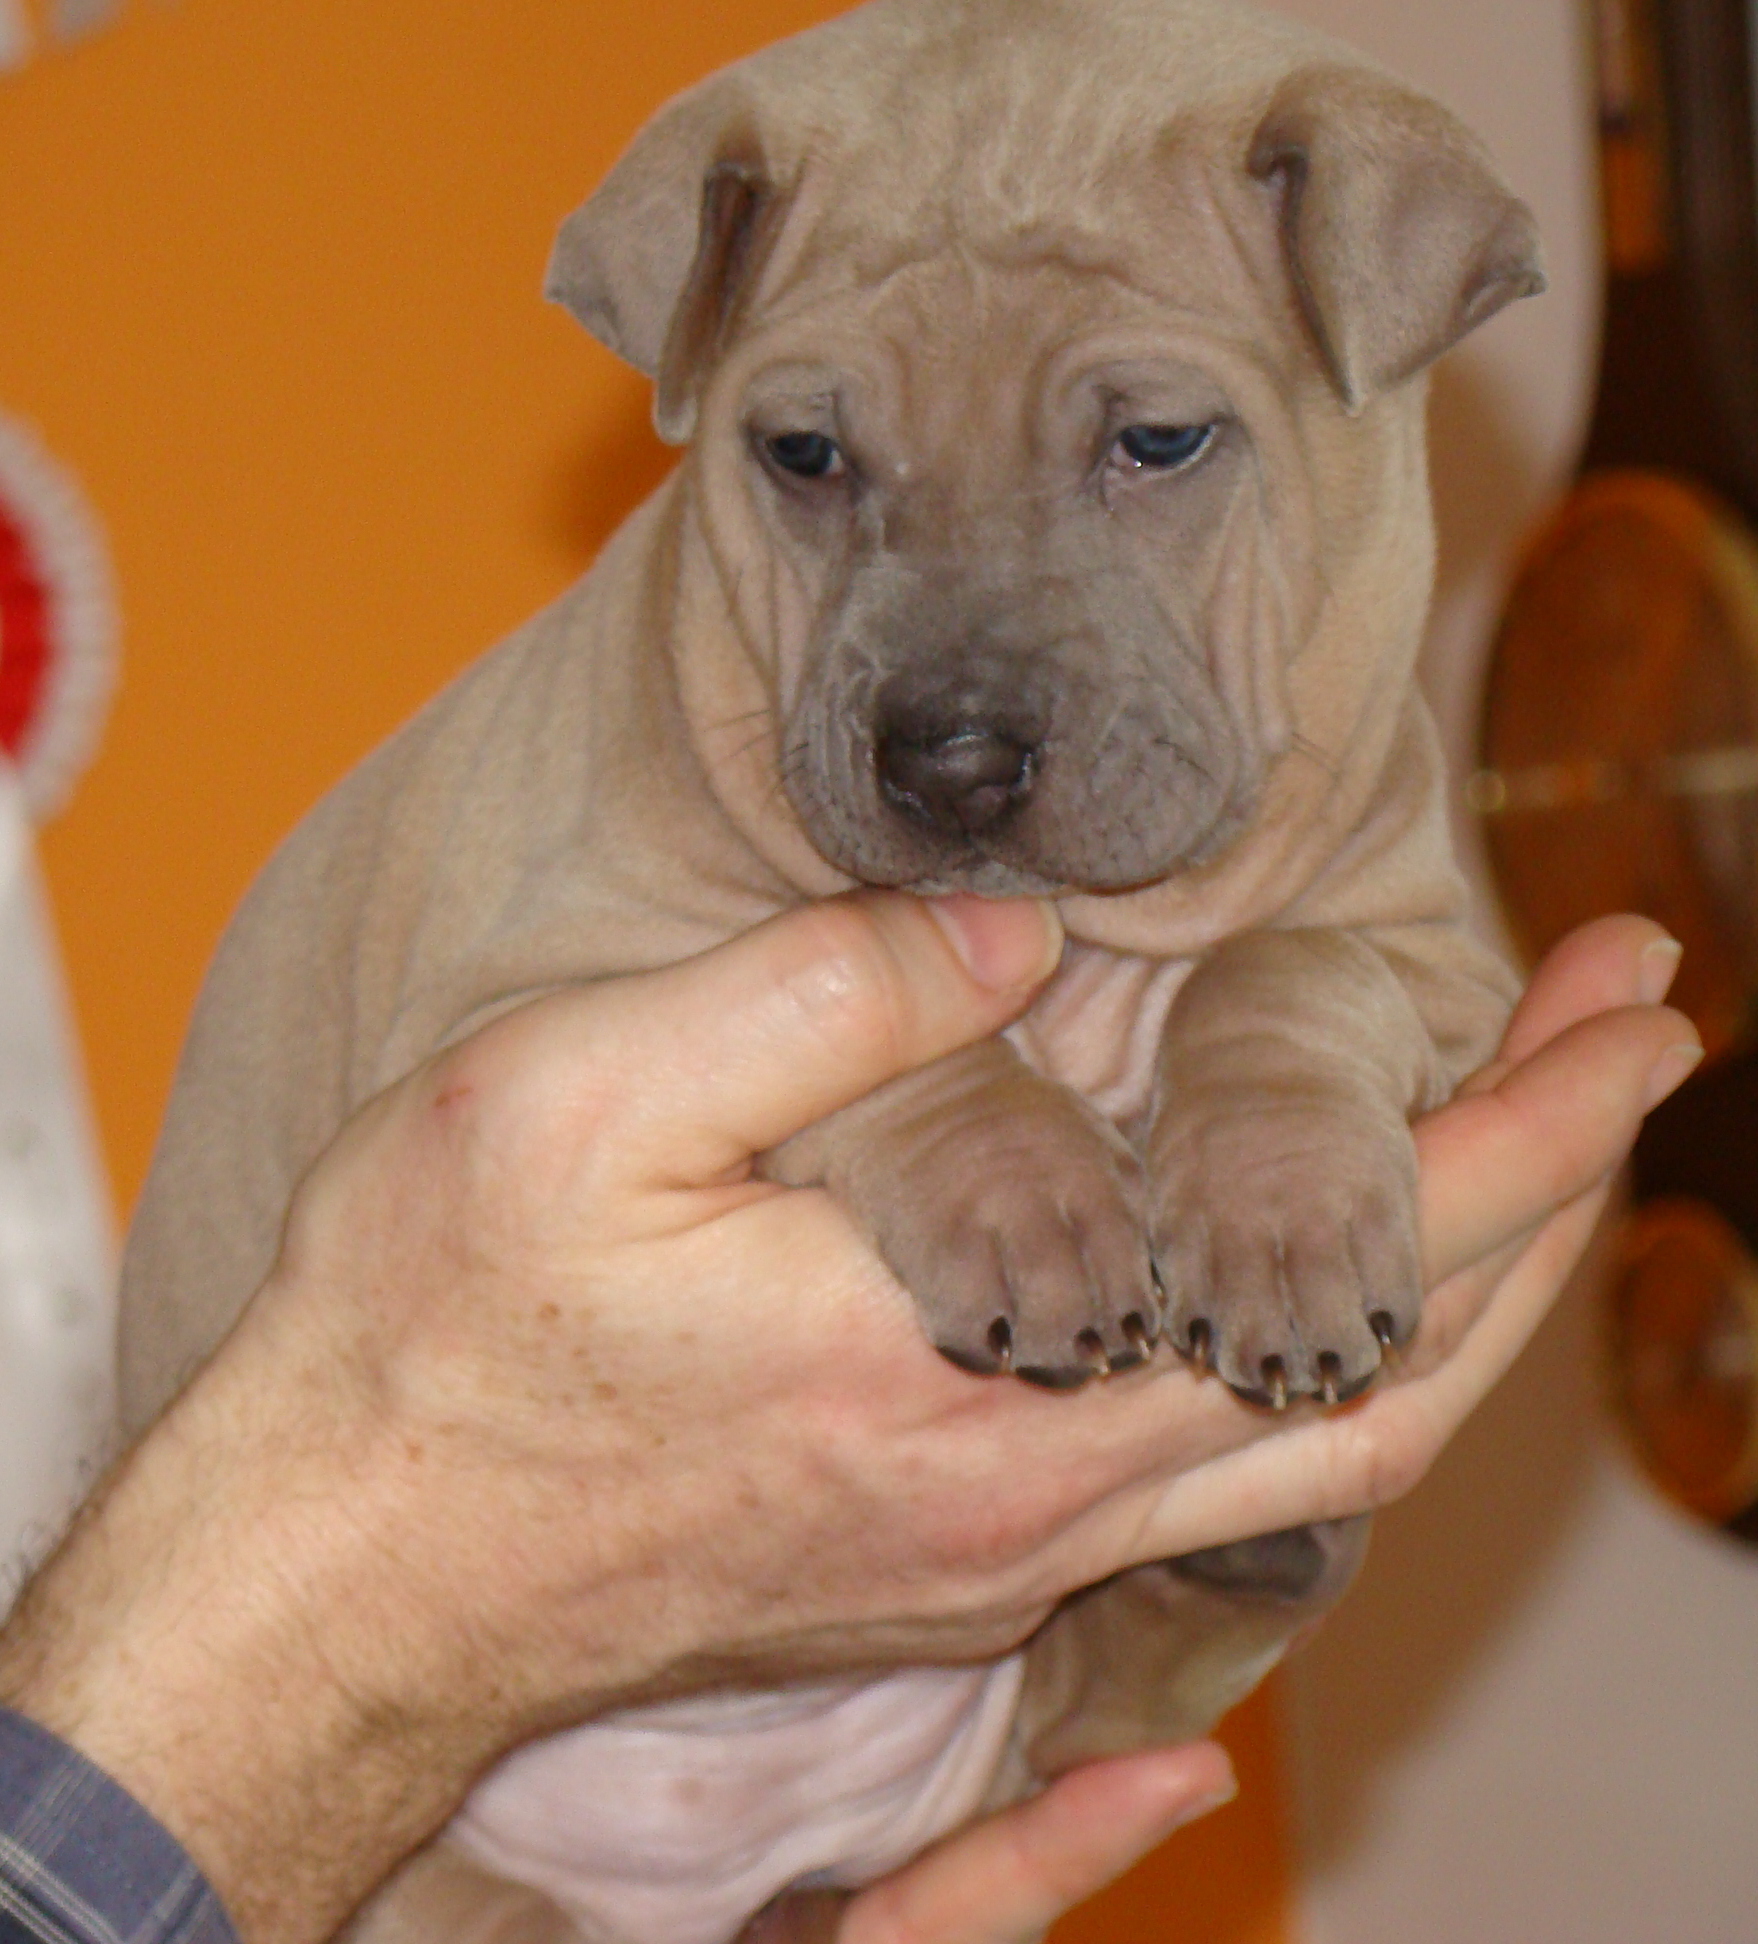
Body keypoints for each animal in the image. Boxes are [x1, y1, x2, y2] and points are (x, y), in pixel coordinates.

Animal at [116, 0, 1540, 1937]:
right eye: (802, 455)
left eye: (1161, 441)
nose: (950, 758)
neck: (1074, 950)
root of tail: (726, 1888)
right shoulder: (527, 1005)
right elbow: (869, 999)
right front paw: (1025, 1196)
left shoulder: (1437, 960)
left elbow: (1283, 968)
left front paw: (1279, 1215)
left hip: (1015, 1744)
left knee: (1101, 1689)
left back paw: (1254, 1546)